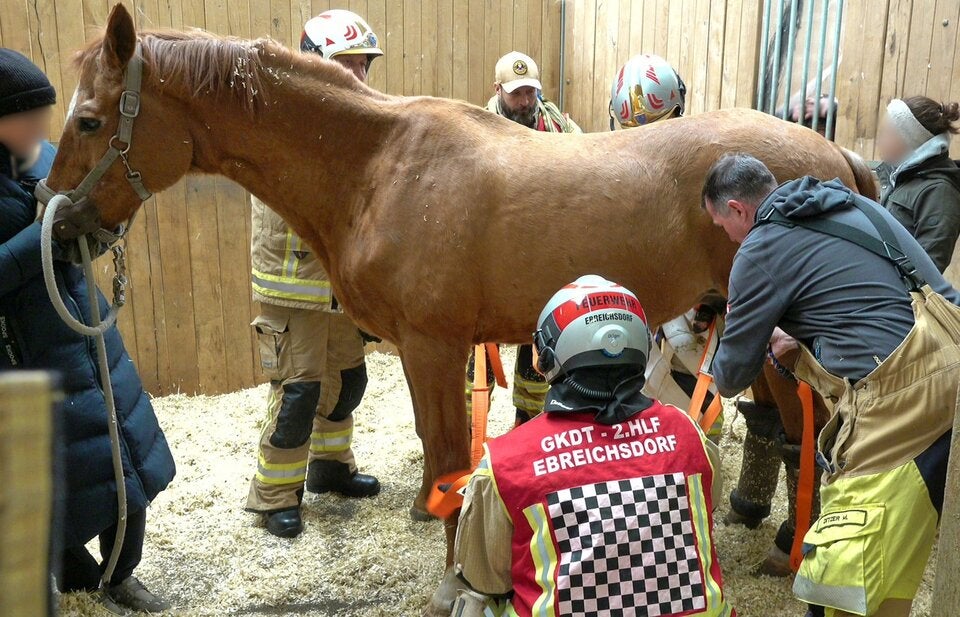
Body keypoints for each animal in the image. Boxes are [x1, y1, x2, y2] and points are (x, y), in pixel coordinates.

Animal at [46, 5, 867, 611]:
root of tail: (834, 159)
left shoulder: (433, 344)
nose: (56, 224)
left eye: (89, 120)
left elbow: (447, 458)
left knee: (818, 429)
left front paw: (454, 583)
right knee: (791, 429)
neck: (378, 165)